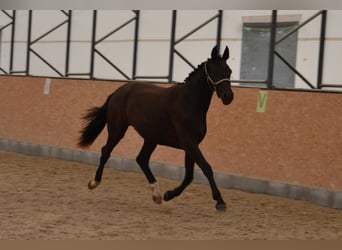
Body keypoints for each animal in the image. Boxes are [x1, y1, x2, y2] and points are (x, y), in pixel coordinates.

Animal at [78, 45, 234, 211]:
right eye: (214, 71)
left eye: (229, 71)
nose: (228, 97)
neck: (189, 102)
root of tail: (118, 92)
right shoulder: (189, 143)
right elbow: (206, 168)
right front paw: (220, 201)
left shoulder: (191, 146)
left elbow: (189, 176)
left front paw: (168, 195)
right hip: (117, 130)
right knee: (106, 151)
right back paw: (94, 182)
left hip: (151, 138)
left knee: (141, 159)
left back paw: (157, 195)